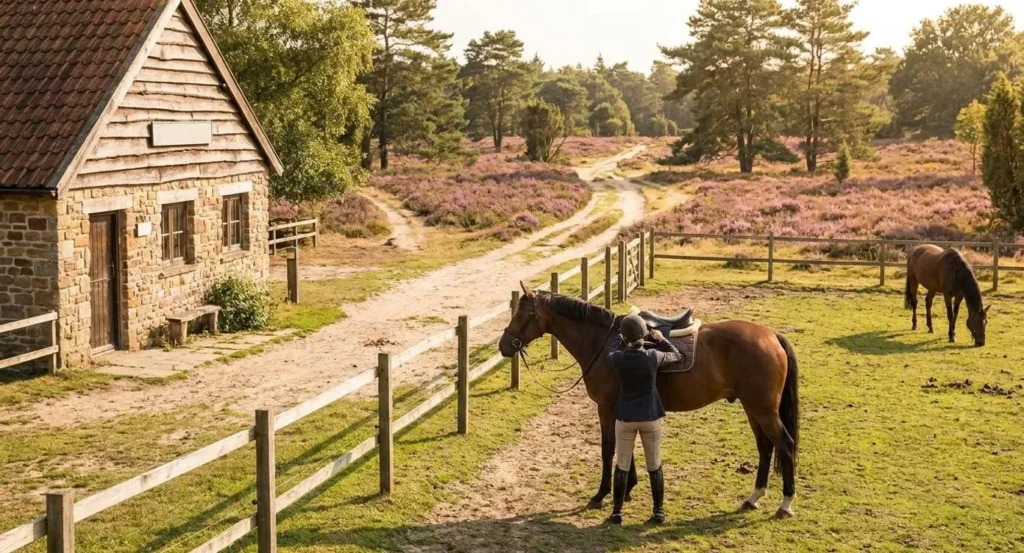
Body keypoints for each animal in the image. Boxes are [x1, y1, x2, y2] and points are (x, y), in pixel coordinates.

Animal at [498, 283, 801, 519]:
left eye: (523, 314)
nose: (503, 345)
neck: (604, 343)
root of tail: (772, 336)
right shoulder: (622, 407)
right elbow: (626, 448)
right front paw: (627, 489)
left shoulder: (606, 407)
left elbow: (609, 448)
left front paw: (602, 494)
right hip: (753, 408)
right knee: (765, 447)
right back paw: (754, 497)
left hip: (763, 410)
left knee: (784, 444)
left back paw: (785, 504)